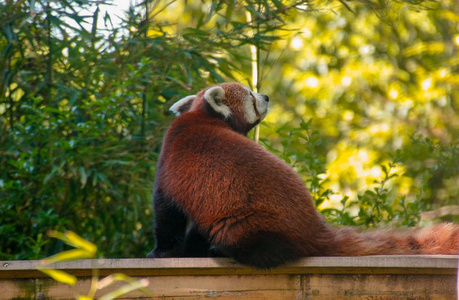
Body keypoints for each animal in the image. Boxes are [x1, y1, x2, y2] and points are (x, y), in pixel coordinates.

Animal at [148, 82, 459, 270]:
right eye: (251, 96)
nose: (266, 96)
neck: (202, 116)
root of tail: (313, 226)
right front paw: (180, 250)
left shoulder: (171, 166)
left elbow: (167, 214)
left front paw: (163, 252)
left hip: (248, 224)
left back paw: (220, 250)